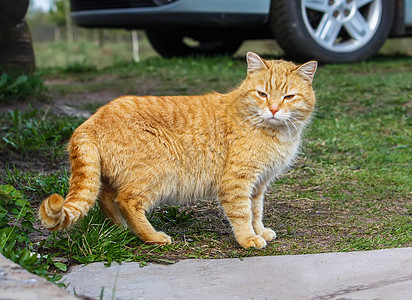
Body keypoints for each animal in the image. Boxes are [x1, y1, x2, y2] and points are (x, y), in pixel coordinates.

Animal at [38, 52, 318, 248]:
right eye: (262, 94)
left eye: (289, 97)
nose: (273, 109)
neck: (276, 133)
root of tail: (90, 121)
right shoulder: (237, 182)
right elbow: (241, 213)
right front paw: (248, 238)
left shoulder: (259, 184)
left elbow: (256, 211)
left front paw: (260, 231)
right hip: (158, 173)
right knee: (126, 200)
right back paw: (152, 236)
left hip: (111, 176)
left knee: (104, 197)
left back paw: (119, 228)